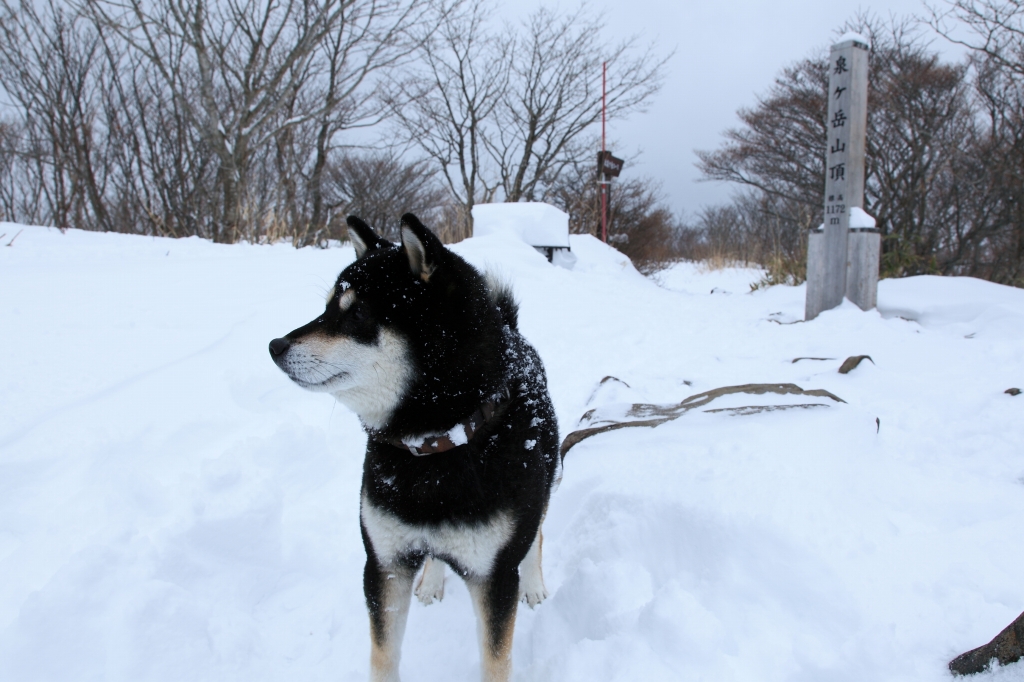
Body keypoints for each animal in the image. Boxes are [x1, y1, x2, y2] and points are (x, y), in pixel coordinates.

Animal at [270, 214, 561, 679]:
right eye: (328, 307)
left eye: (359, 313)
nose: (275, 346)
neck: (438, 442)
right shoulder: (385, 563)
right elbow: (383, 655)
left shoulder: (495, 578)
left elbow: (495, 660)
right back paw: (433, 580)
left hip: (545, 487)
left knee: (537, 536)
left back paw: (534, 584)